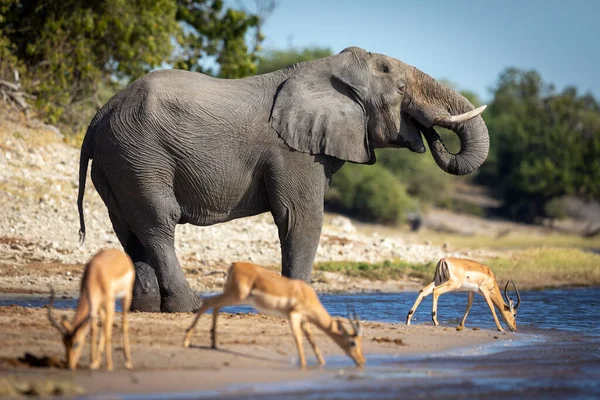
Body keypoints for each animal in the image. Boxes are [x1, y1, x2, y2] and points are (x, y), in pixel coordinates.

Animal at [76, 44, 488, 312]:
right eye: (401, 90)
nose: (427, 132)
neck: (328, 70)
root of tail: (100, 113)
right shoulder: (293, 151)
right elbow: (301, 217)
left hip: (119, 161)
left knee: (130, 228)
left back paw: (145, 309)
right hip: (141, 154)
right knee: (159, 222)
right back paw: (189, 307)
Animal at [183, 262, 364, 368]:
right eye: (353, 342)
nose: (362, 361)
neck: (306, 294)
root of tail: (235, 264)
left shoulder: (304, 320)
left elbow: (312, 340)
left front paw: (322, 363)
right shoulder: (294, 315)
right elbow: (298, 338)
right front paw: (303, 365)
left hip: (233, 296)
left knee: (215, 305)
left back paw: (213, 344)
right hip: (236, 296)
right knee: (209, 302)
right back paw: (186, 342)